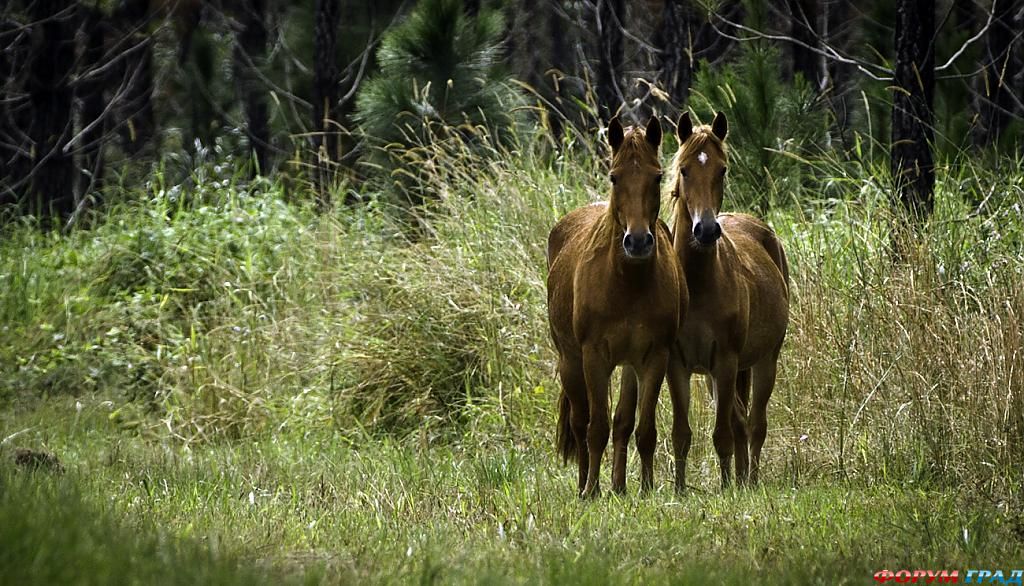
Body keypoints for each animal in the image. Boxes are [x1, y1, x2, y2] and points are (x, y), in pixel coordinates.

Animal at [548, 116, 684, 495]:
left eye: (657, 176)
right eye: (613, 176)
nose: (637, 242)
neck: (626, 283)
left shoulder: (654, 357)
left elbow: (644, 428)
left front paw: (647, 488)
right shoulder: (593, 356)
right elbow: (596, 428)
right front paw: (591, 491)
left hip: (628, 366)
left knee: (623, 420)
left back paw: (620, 486)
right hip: (570, 362)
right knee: (580, 423)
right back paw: (585, 484)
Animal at [659, 111, 786, 489]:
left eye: (723, 169)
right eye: (684, 169)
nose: (705, 230)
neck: (699, 285)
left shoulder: (727, 362)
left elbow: (723, 434)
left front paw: (727, 487)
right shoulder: (678, 365)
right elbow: (682, 434)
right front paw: (681, 489)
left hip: (765, 362)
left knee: (755, 424)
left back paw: (750, 480)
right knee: (741, 420)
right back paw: (742, 479)